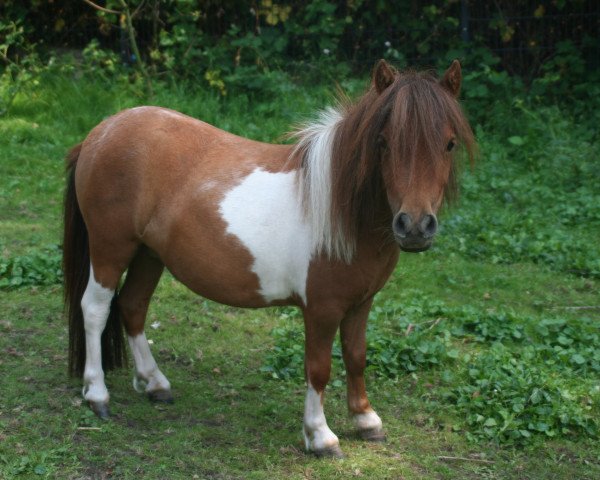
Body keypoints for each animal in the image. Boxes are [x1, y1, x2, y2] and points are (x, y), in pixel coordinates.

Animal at [64, 60, 474, 458]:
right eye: (383, 142)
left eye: (449, 143)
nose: (415, 226)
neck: (340, 210)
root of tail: (100, 133)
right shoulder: (322, 309)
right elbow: (319, 368)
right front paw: (320, 436)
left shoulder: (361, 303)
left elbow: (356, 355)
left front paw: (366, 420)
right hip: (111, 249)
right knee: (96, 309)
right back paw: (97, 395)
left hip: (149, 255)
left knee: (132, 307)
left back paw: (155, 384)